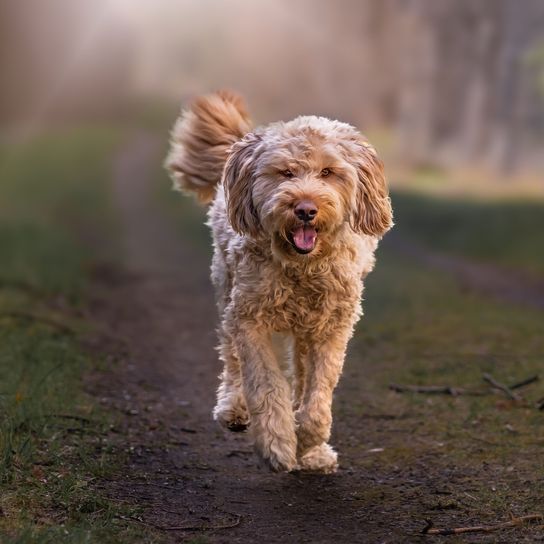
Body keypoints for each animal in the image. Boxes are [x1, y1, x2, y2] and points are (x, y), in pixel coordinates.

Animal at [164, 91, 394, 474]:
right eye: (285, 172)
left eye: (328, 172)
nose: (305, 208)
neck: (301, 268)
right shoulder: (250, 318)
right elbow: (265, 384)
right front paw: (278, 444)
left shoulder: (332, 326)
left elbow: (319, 393)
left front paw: (309, 443)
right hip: (227, 287)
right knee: (231, 357)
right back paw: (234, 408)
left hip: (303, 327)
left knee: (300, 372)